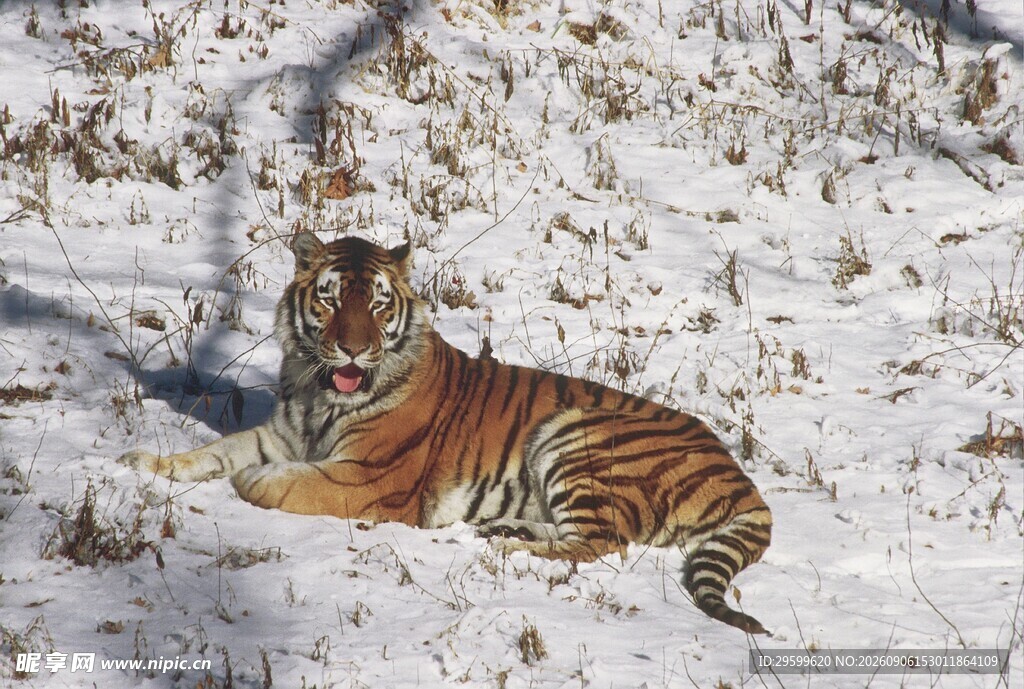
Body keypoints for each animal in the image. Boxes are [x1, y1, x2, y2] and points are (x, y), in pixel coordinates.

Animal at [121, 234, 773, 634]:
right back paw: (503, 529)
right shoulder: (281, 434)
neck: (318, 390)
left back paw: (508, 548)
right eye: (329, 300)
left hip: (573, 433)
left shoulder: (370, 480)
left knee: (602, 542)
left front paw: (255, 483)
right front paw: (142, 462)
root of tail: (741, 477)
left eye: (378, 305)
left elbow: (290, 483)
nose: (353, 348)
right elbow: (213, 451)